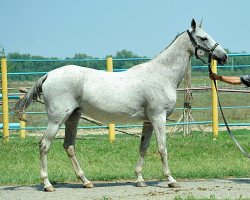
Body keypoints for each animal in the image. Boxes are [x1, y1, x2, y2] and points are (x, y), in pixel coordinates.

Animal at [14, 19, 229, 192]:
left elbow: (143, 148)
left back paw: (86, 181)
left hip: (73, 118)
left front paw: (140, 180)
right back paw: (47, 184)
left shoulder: (148, 122)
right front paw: (171, 179)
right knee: (44, 145)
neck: (161, 74)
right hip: (57, 119)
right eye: (203, 38)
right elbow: (162, 148)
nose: (224, 56)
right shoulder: (158, 118)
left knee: (69, 146)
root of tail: (49, 75)